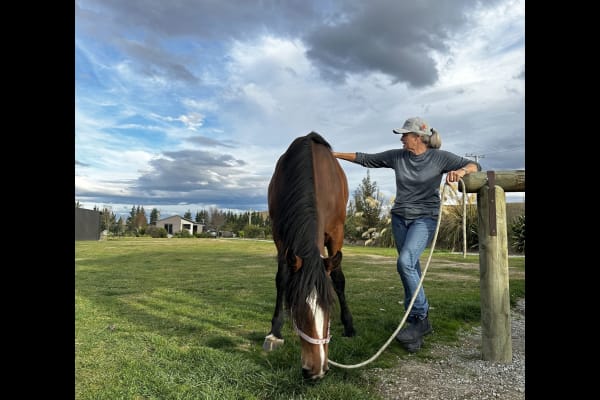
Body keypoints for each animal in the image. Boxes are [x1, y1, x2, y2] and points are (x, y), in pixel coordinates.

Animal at [264, 132, 356, 382]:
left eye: (329, 307)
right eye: (298, 308)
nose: (317, 370)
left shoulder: (336, 234)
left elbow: (338, 279)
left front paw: (349, 325)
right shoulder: (280, 235)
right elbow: (282, 278)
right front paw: (275, 331)